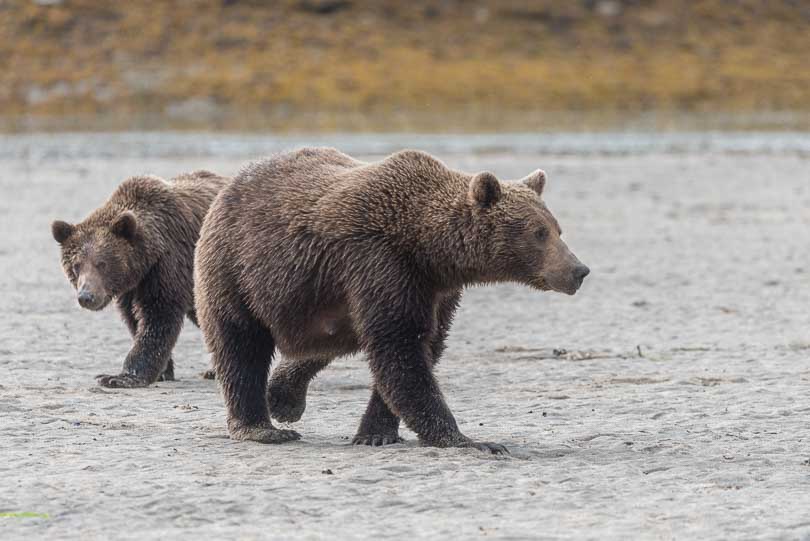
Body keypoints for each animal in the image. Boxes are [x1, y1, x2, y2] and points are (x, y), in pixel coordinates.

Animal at [51, 171, 227, 386]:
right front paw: (163, 371)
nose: (86, 296)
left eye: (101, 263)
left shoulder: (169, 266)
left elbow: (157, 318)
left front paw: (120, 377)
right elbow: (133, 319)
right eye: (76, 265)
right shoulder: (131, 288)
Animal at [196, 148, 588, 452]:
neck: (428, 248)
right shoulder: (381, 262)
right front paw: (473, 440)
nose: (579, 270)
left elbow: (423, 345)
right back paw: (261, 427)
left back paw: (284, 397)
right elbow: (400, 349)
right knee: (241, 346)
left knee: (328, 339)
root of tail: (229, 186)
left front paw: (377, 433)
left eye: (557, 229)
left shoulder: (435, 290)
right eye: (539, 233)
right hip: (238, 271)